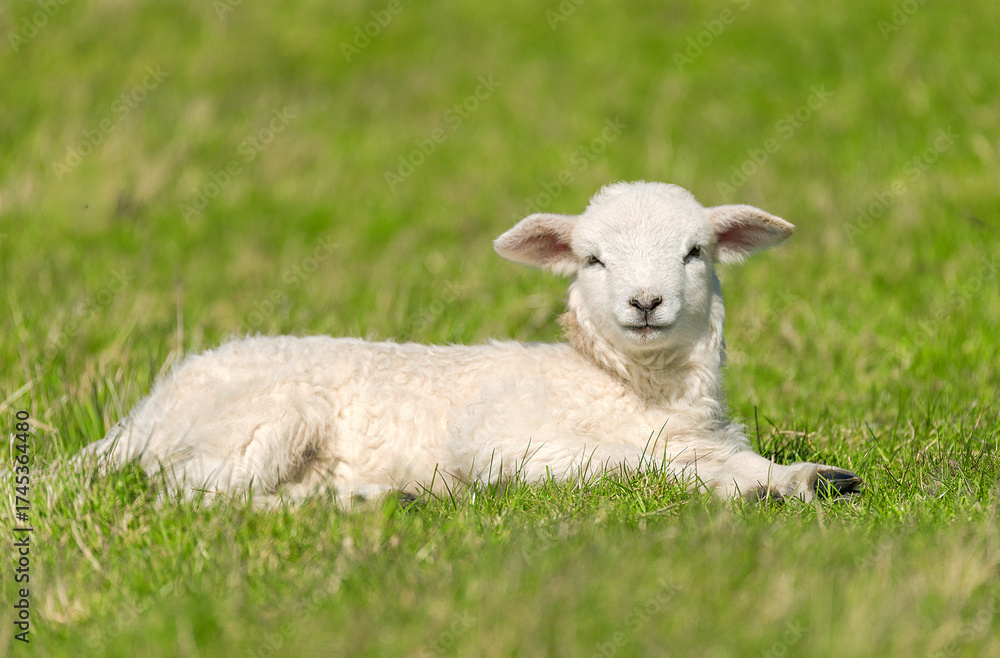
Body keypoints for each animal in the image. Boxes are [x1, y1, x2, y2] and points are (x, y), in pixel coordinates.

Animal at [78, 181, 861, 504]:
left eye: (696, 252)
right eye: (592, 260)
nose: (646, 301)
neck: (622, 388)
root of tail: (143, 414)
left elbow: (745, 465)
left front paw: (809, 479)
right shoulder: (504, 444)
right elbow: (633, 467)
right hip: (261, 415)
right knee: (197, 496)